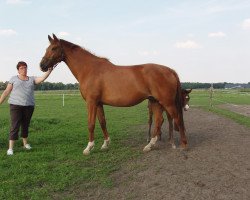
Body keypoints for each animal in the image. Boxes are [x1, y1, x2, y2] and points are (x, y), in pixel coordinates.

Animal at [39, 34, 188, 155]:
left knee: (177, 119)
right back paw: (149, 146)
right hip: (155, 101)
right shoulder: (99, 103)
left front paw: (89, 147)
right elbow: (102, 122)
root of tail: (169, 70)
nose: (42, 65)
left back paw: (183, 145)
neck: (89, 69)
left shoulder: (91, 102)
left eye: (54, 48)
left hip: (166, 102)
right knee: (159, 121)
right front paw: (105, 144)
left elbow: (91, 124)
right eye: (47, 48)